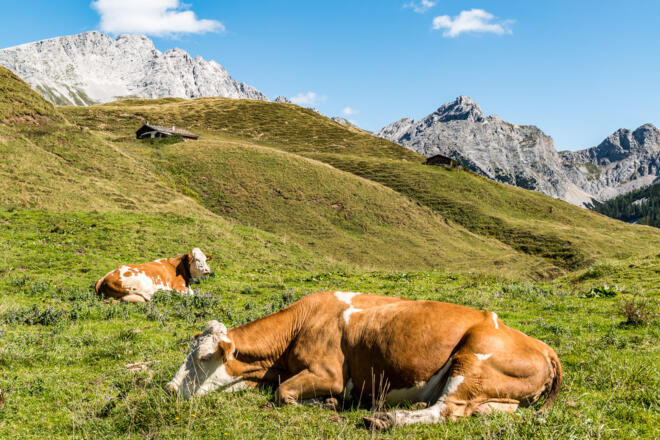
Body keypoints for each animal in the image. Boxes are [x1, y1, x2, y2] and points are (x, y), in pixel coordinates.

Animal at [166, 291, 562, 430]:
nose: (169, 389)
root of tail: (542, 345)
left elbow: (283, 394)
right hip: (497, 395)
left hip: (472, 359)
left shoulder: (330, 374)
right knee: (475, 411)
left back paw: (385, 418)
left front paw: (329, 403)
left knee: (446, 409)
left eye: (204, 357)